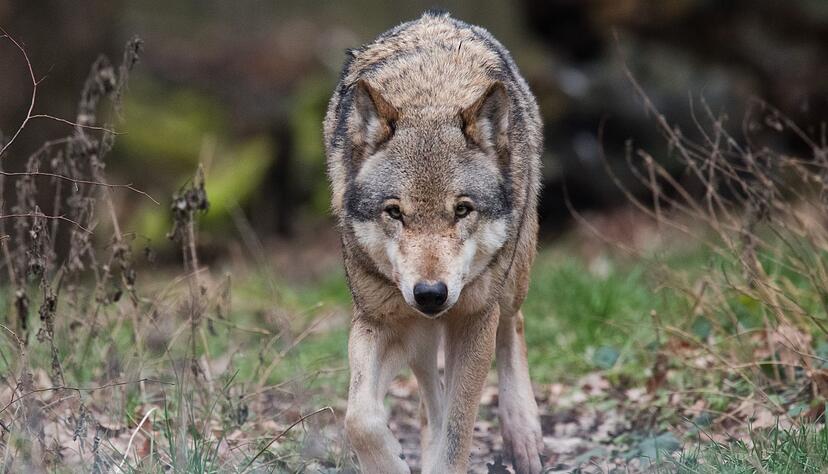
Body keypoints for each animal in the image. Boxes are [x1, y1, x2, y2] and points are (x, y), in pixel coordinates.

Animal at [324, 10, 544, 474]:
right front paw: (390, 462)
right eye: (395, 212)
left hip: (510, 280)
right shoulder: (379, 319)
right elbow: (359, 418)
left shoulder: (474, 319)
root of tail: (437, 17)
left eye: (461, 210)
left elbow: (458, 432)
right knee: (430, 397)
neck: (431, 96)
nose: (430, 293)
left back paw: (523, 434)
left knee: (513, 324)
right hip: (418, 335)